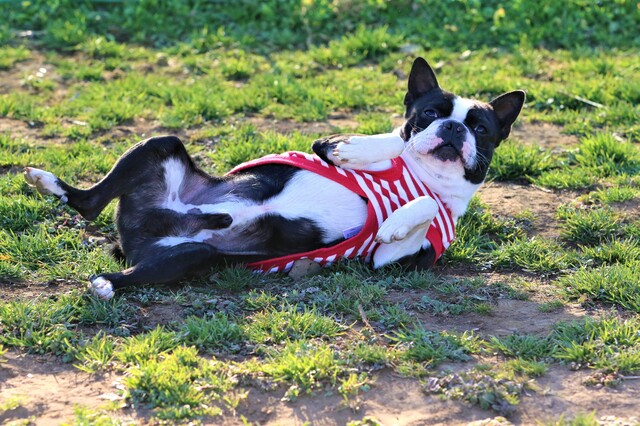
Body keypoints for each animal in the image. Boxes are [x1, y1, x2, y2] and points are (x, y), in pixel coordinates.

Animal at [25, 58, 524, 300]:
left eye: (481, 128)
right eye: (429, 115)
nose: (454, 128)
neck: (424, 176)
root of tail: (132, 236)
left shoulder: (392, 263)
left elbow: (420, 213)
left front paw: (397, 220)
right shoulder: (326, 142)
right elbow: (386, 142)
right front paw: (361, 151)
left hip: (188, 256)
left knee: (123, 257)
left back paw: (106, 282)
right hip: (160, 144)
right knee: (90, 200)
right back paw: (50, 183)